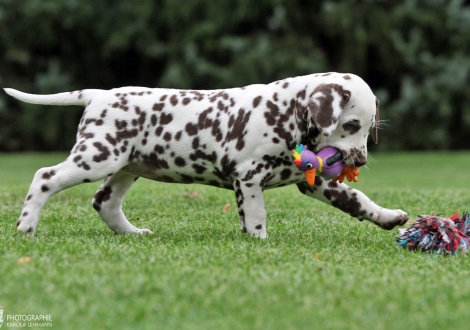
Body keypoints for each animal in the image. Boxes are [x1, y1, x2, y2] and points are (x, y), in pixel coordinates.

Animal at [3, 72, 408, 237]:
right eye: (351, 125)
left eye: (369, 129)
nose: (359, 161)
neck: (285, 111)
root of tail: (98, 95)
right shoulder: (249, 178)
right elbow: (257, 219)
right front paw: (260, 243)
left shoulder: (316, 182)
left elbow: (357, 199)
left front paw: (388, 217)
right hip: (98, 157)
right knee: (44, 177)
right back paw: (26, 227)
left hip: (126, 167)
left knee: (104, 201)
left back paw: (132, 233)